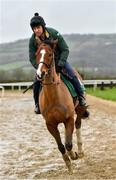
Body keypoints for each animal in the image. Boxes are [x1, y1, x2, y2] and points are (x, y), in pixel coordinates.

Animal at [35, 40, 84, 173]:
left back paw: (80, 151)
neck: (53, 97)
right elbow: (61, 146)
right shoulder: (50, 124)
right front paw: (69, 165)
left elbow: (68, 144)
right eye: (36, 54)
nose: (40, 73)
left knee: (78, 125)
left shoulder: (68, 119)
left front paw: (74, 155)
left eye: (50, 54)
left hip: (79, 109)